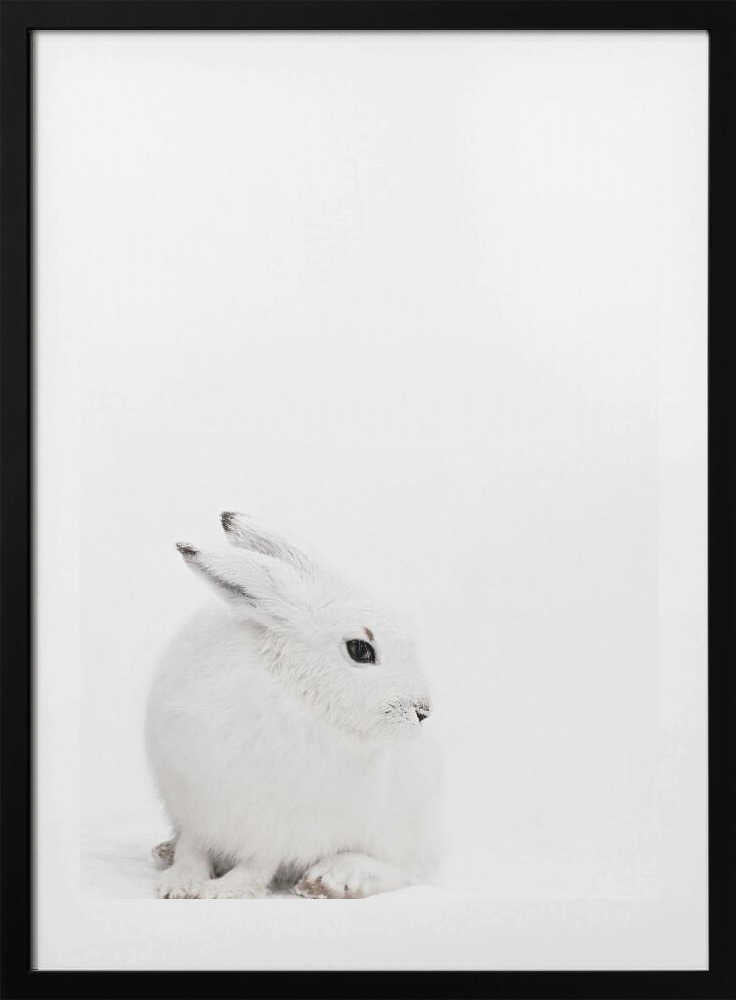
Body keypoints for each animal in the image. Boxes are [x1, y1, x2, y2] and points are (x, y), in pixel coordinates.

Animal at [145, 512, 442, 899]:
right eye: (360, 649)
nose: (422, 711)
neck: (293, 692)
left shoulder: (279, 828)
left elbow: (258, 865)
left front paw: (222, 891)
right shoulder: (196, 807)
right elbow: (193, 849)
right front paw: (179, 884)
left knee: (404, 870)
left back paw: (332, 879)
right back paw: (164, 851)